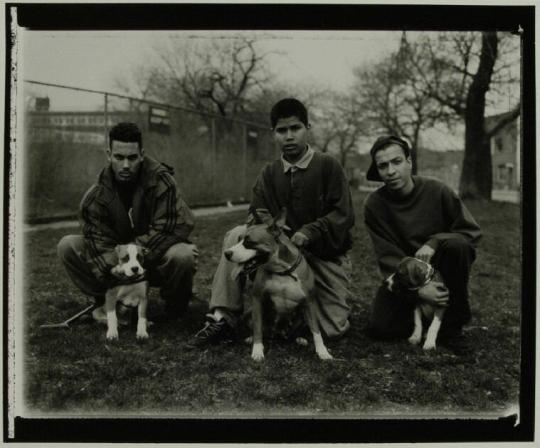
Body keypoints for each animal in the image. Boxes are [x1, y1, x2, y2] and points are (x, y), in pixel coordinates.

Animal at [224, 212, 334, 362]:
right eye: (239, 239)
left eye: (249, 242)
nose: (226, 253)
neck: (281, 270)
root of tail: (278, 333)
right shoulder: (257, 299)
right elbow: (257, 327)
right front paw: (257, 350)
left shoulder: (309, 302)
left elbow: (316, 331)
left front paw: (322, 351)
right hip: (249, 314)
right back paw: (251, 338)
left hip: (302, 315)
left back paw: (300, 339)